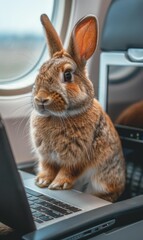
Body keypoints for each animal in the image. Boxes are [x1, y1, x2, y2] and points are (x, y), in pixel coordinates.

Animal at [29, 13, 125, 202]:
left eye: (67, 75)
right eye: (39, 73)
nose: (41, 99)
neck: (58, 116)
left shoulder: (78, 157)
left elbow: (69, 171)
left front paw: (58, 185)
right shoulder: (46, 157)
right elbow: (48, 168)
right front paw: (42, 181)